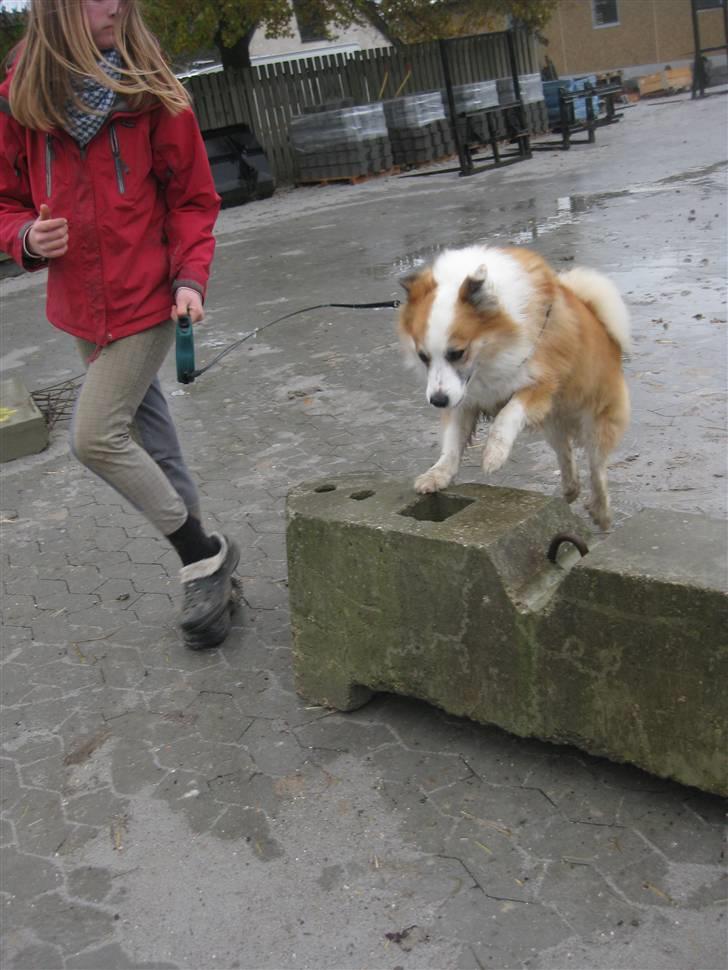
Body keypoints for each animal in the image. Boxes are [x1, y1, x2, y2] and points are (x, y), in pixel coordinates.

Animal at [398, 242, 632, 528]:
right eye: (423, 356)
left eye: (457, 353)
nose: (437, 401)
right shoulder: (463, 398)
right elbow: (452, 442)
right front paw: (438, 474)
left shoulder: (539, 384)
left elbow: (507, 415)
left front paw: (494, 453)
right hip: (553, 422)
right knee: (565, 453)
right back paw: (570, 489)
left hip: (595, 420)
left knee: (597, 467)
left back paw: (601, 510)